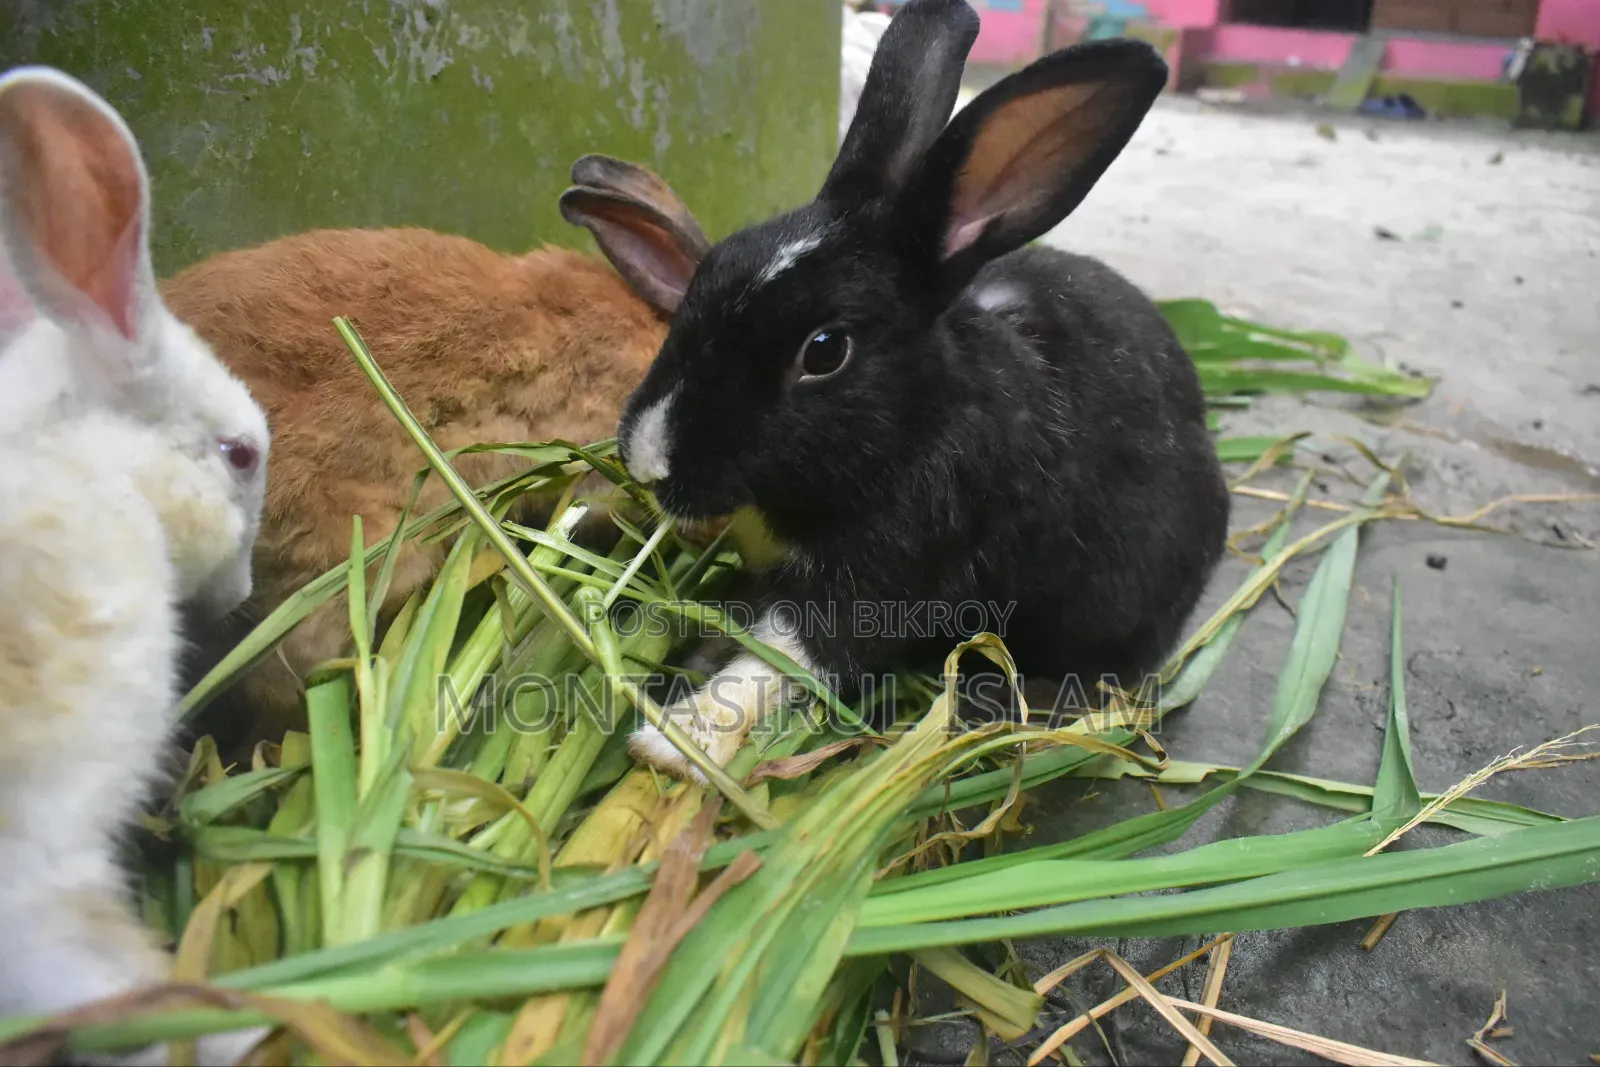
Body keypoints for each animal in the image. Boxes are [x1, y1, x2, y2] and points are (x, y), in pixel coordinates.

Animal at [612, 0, 1231, 780]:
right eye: (710, 270)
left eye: (825, 351)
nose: (646, 457)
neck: (915, 420)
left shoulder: (890, 578)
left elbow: (784, 655)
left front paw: (676, 743)